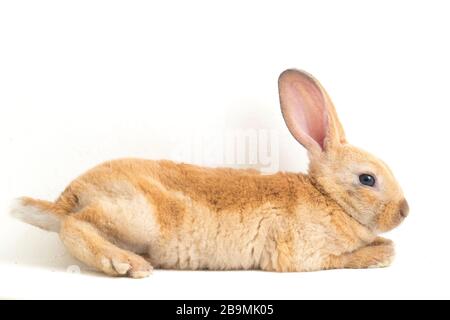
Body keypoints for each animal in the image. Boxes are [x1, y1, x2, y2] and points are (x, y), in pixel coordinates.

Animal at [8, 69, 408, 278]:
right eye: (367, 179)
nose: (405, 211)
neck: (329, 197)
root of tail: (66, 198)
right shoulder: (302, 255)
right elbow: (340, 259)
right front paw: (380, 255)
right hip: (134, 216)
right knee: (74, 226)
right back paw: (126, 265)